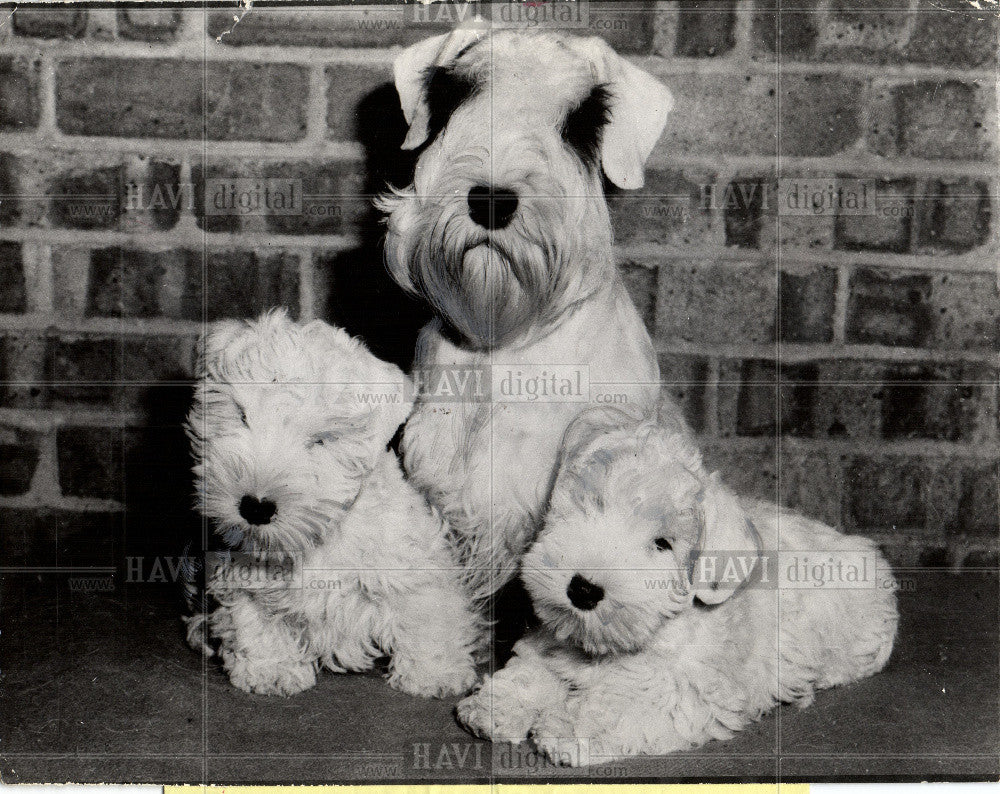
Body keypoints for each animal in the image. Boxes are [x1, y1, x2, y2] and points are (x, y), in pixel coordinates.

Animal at [188, 312, 484, 696]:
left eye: (321, 440)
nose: (255, 508)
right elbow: (254, 621)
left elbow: (426, 616)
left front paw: (435, 674)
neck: (320, 536)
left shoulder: (413, 566)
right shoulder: (241, 578)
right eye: (241, 416)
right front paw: (271, 669)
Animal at [458, 408, 900, 760]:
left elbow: (624, 699)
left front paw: (570, 727)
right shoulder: (554, 640)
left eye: (663, 544)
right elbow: (536, 669)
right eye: (594, 504)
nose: (583, 589)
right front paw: (499, 705)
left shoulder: (683, 688)